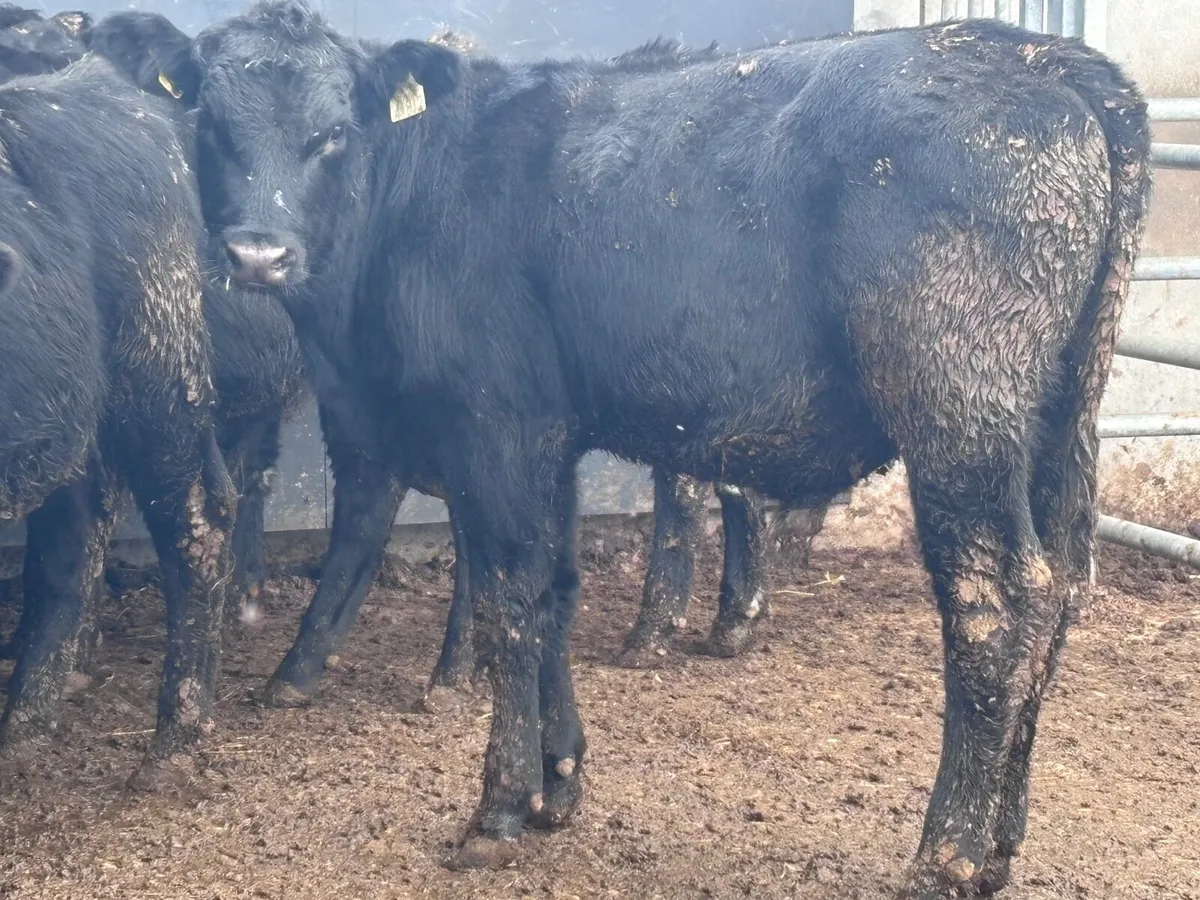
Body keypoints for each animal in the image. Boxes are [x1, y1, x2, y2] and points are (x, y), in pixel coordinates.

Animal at [88, 4, 1151, 894]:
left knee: (995, 601)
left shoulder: (495, 425)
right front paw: (559, 785)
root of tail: (1043, 58)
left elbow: (508, 600)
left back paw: (950, 854)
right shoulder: (550, 435)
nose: (257, 254)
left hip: (957, 411)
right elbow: (554, 591)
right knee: (1062, 589)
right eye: (211, 125)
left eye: (333, 132)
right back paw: (1003, 842)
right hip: (1062, 422)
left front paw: (498, 806)